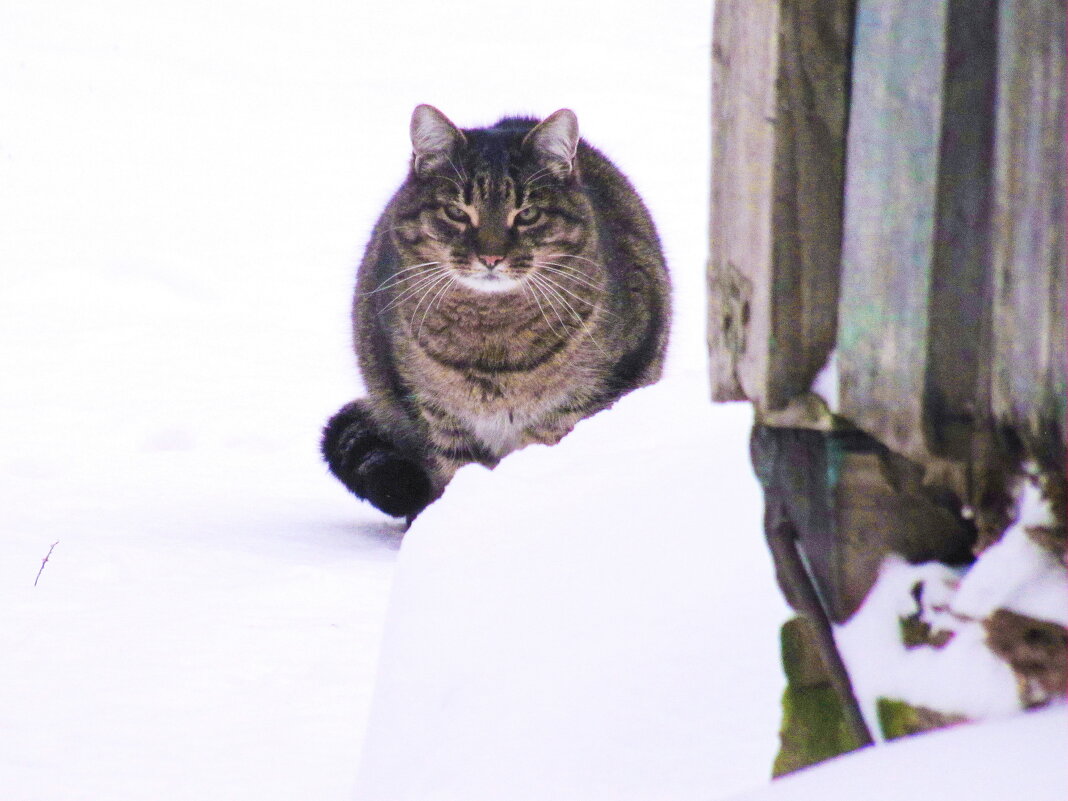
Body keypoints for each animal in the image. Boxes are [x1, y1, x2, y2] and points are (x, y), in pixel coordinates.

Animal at [318, 105, 666, 521]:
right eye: (456, 212)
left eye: (528, 214)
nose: (491, 256)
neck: (492, 333)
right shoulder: (443, 421)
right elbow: (458, 476)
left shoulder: (575, 408)